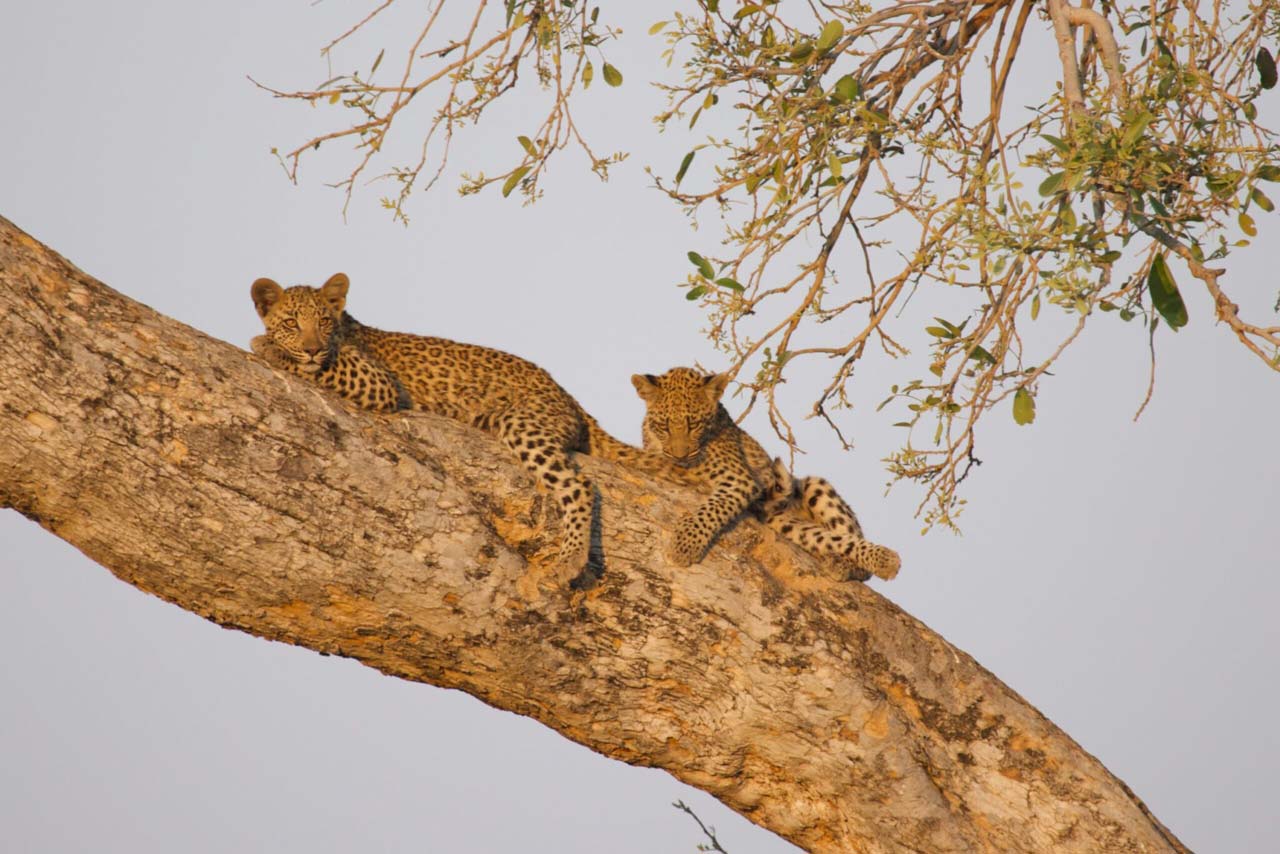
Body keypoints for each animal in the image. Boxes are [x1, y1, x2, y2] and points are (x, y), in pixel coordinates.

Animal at [250, 272, 681, 586]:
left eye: (323, 321)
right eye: (292, 322)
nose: (311, 347)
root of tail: (566, 395)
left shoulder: (377, 382)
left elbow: (315, 363)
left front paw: (266, 345)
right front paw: (274, 344)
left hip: (523, 421)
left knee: (578, 485)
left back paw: (570, 559)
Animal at [631, 367, 901, 580]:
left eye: (694, 424)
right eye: (664, 425)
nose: (680, 456)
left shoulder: (737, 479)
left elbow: (710, 511)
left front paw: (683, 546)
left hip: (814, 486)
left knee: (854, 549)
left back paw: (858, 563)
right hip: (784, 523)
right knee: (826, 538)